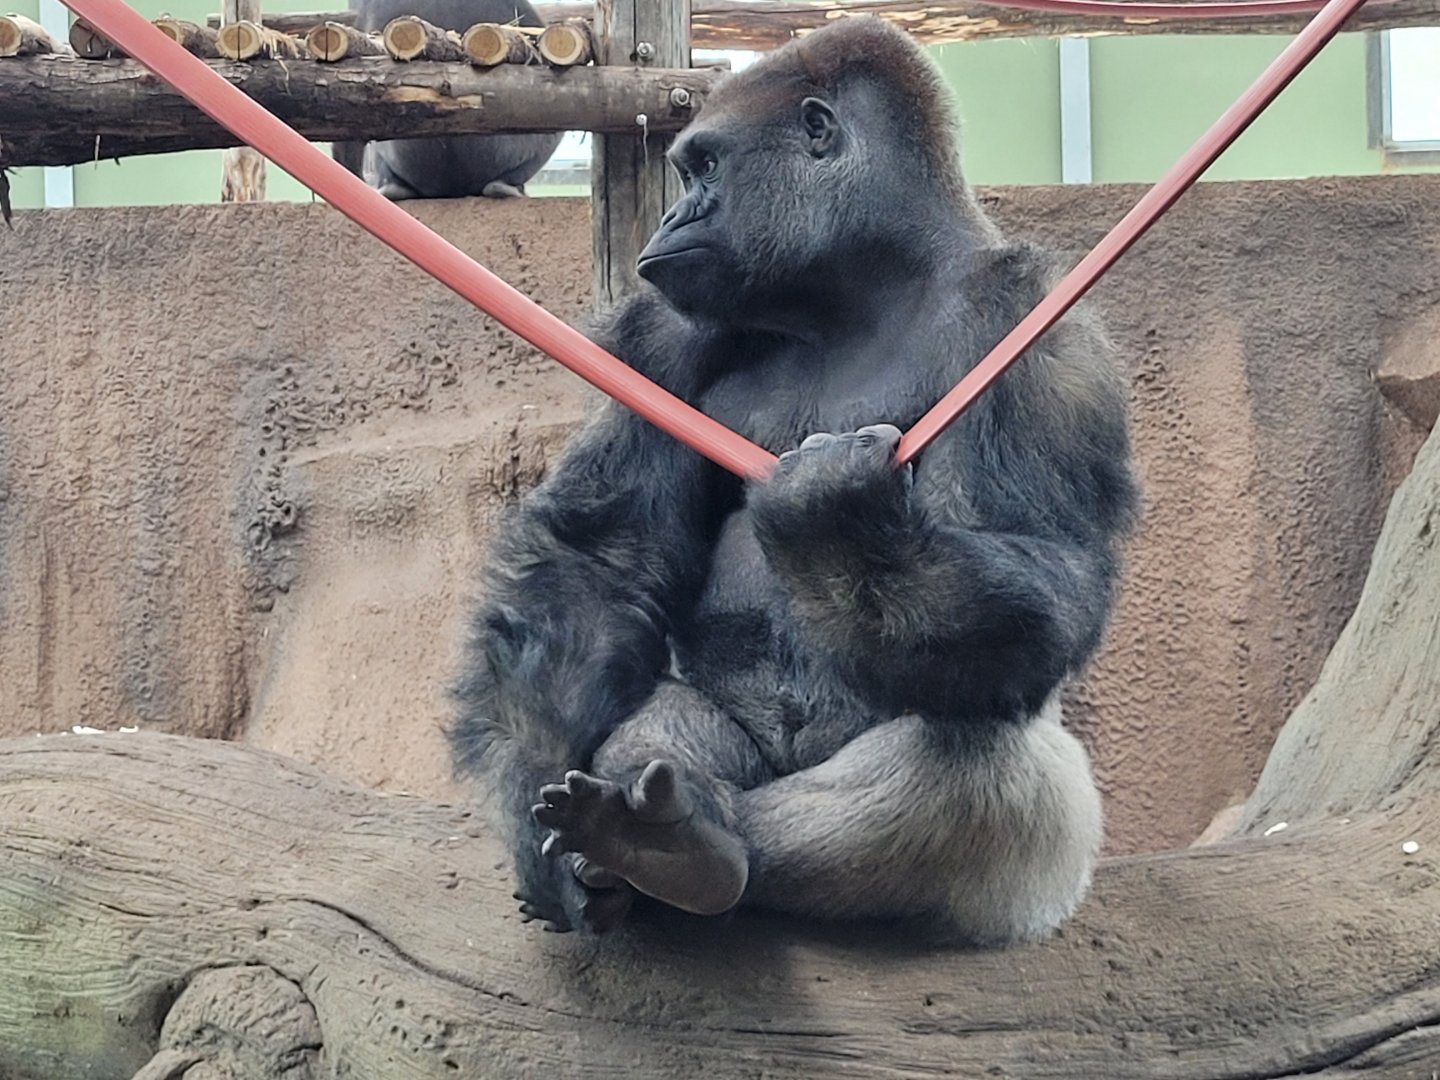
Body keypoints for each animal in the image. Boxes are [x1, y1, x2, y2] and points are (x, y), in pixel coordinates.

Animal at [451, 16, 1138, 945]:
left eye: (706, 167)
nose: (674, 216)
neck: (858, 290)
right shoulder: (658, 336)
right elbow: (601, 559)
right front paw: (532, 800)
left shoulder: (1039, 328)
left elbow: (1047, 564)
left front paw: (836, 525)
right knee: (670, 723)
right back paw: (662, 842)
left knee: (969, 762)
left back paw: (697, 850)